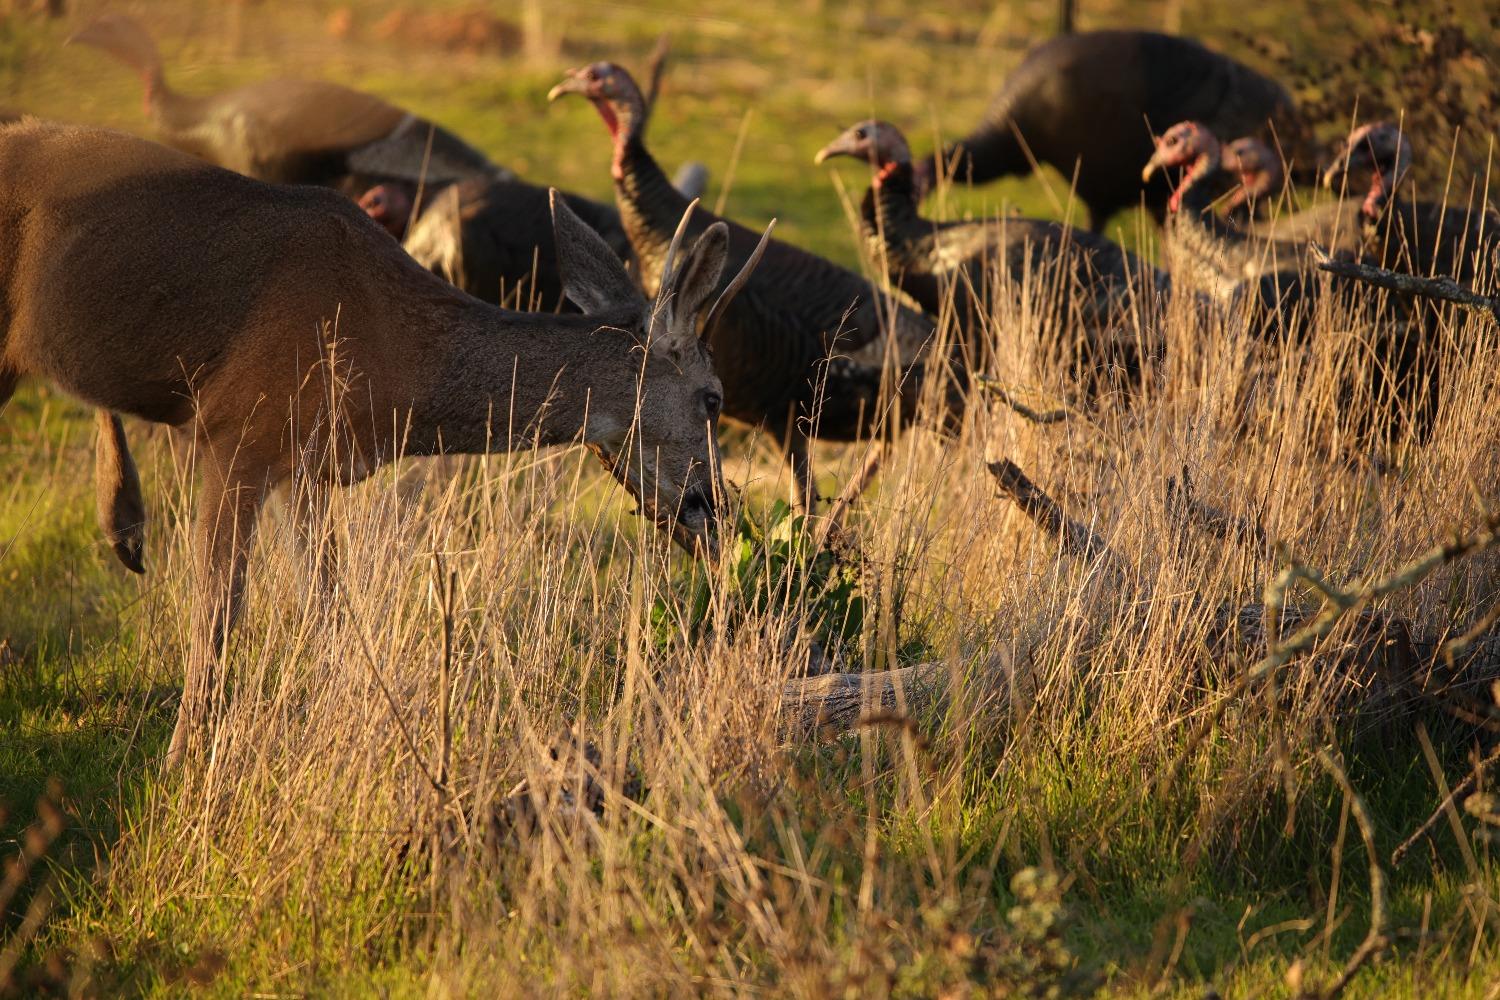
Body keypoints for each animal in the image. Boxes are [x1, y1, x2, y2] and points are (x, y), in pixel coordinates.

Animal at [0, 121, 768, 761]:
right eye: (713, 398)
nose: (716, 511)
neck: (392, 359)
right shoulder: (236, 429)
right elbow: (219, 613)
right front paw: (186, 756)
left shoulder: (306, 466)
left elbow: (331, 612)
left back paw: (122, 524)